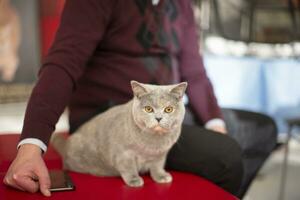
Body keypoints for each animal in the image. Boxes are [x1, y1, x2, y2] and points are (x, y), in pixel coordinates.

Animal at [51, 80, 188, 187]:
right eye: (148, 109)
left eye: (168, 109)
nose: (158, 118)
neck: (153, 143)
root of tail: (66, 144)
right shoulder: (124, 153)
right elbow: (128, 167)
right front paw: (134, 180)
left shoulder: (161, 154)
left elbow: (157, 165)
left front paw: (161, 176)